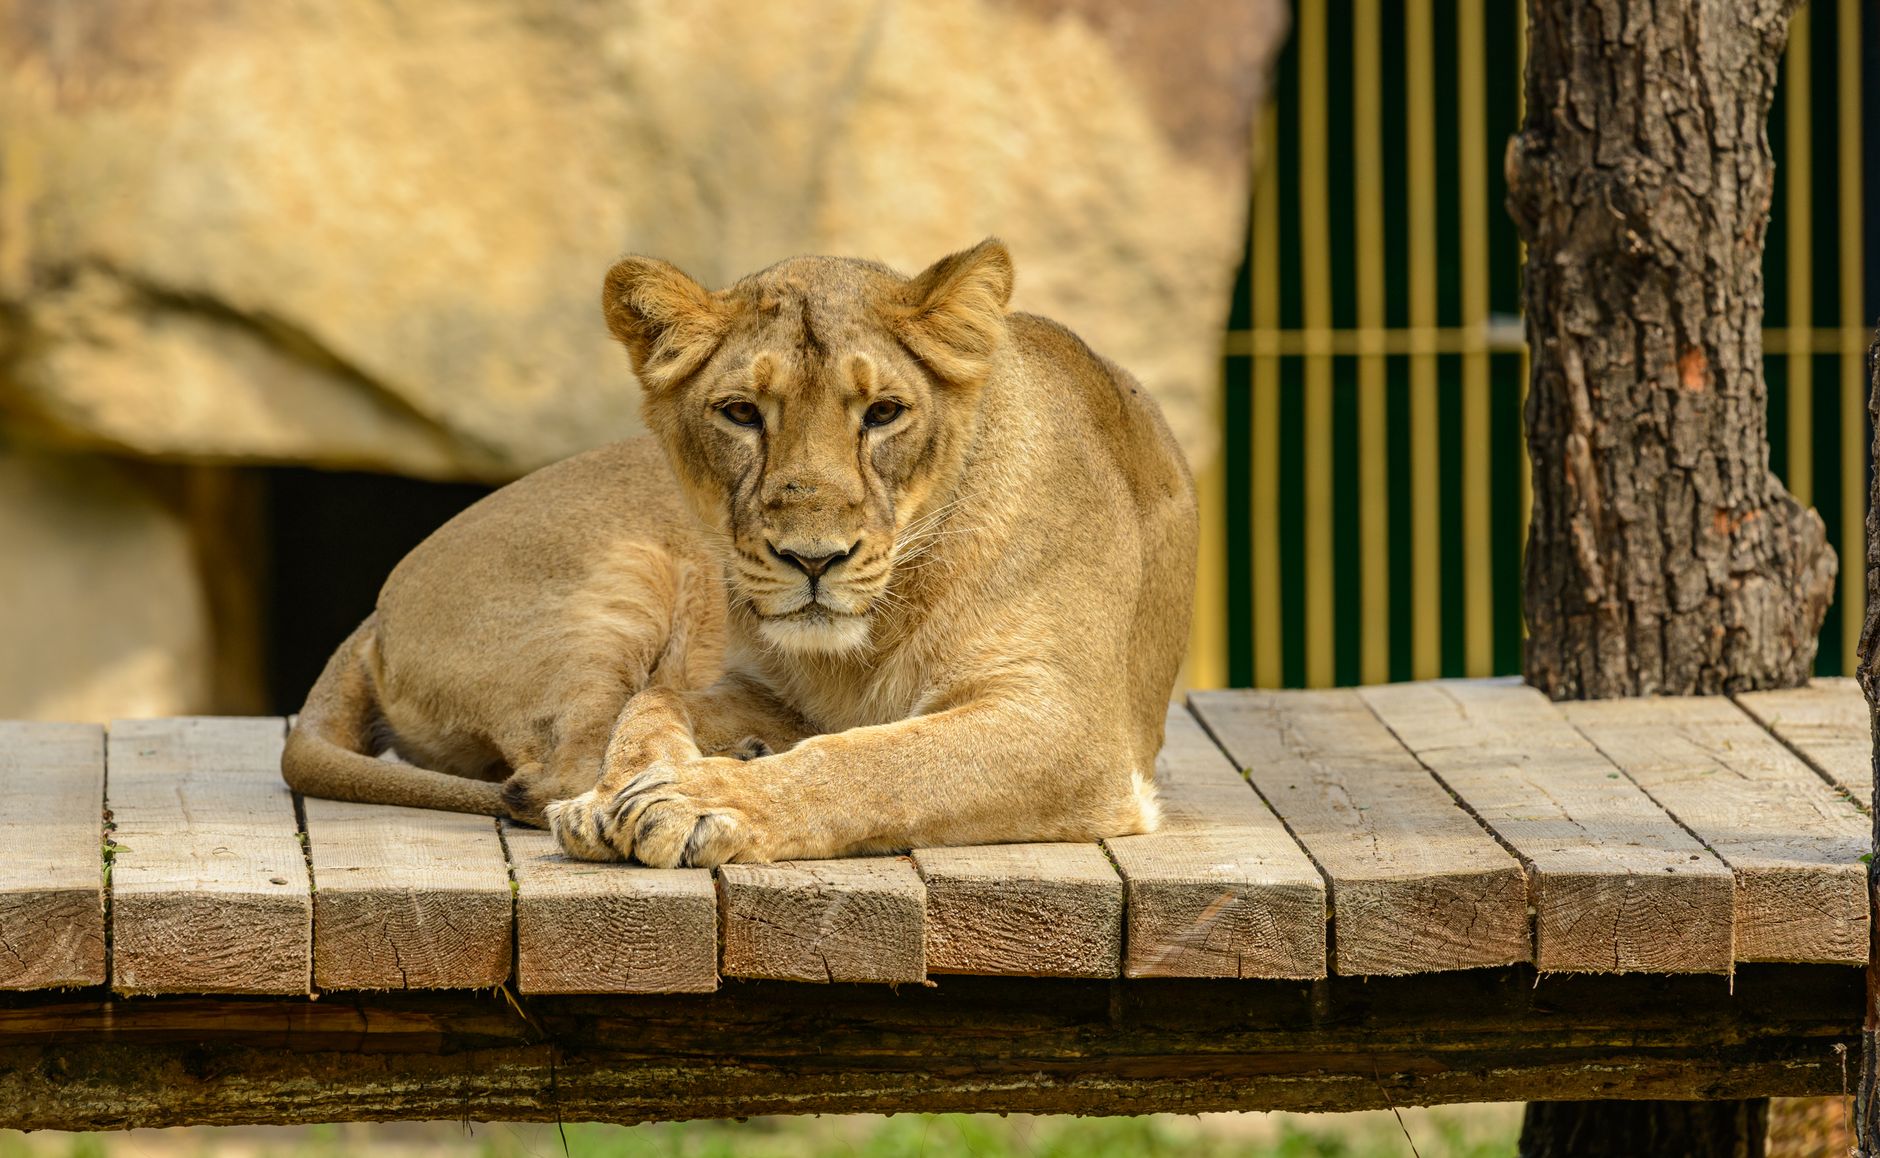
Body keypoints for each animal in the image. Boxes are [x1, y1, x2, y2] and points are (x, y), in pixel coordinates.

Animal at [282, 239, 1197, 867]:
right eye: (741, 413)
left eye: (883, 413)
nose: (813, 560)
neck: (866, 642)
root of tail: (376, 607)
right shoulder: (747, 682)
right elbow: (649, 710)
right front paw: (644, 786)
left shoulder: (1071, 728)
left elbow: (879, 762)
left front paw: (697, 796)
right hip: (630, 580)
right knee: (552, 765)